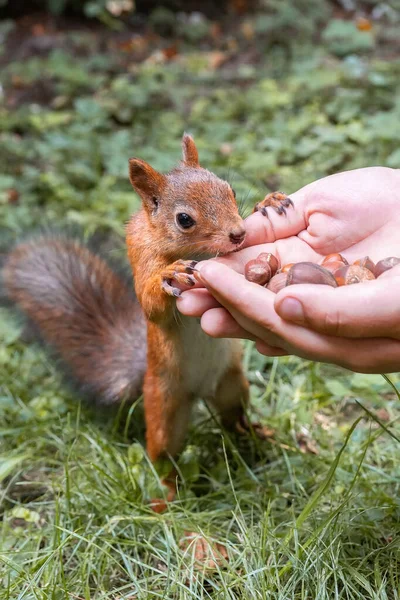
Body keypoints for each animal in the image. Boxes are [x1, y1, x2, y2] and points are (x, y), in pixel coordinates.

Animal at [1, 136, 292, 496]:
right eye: (184, 219)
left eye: (231, 191)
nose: (238, 234)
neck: (196, 252)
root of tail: (199, 391)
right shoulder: (141, 256)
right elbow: (151, 303)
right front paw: (170, 274)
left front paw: (268, 202)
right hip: (164, 406)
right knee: (163, 457)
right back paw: (166, 496)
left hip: (232, 386)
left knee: (232, 419)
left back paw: (258, 434)